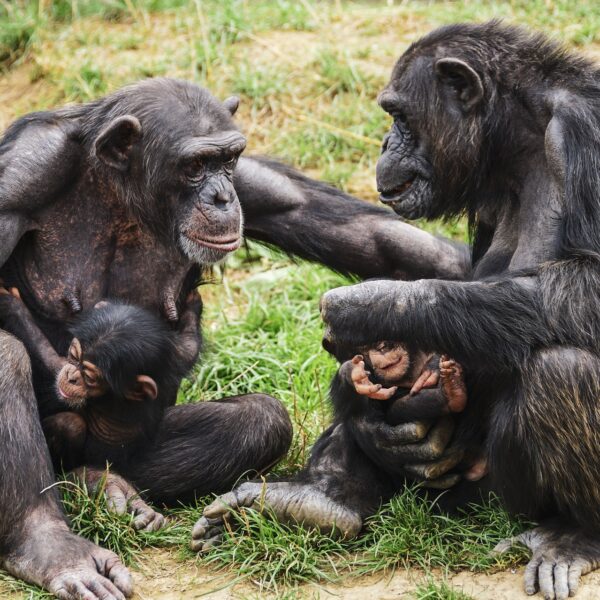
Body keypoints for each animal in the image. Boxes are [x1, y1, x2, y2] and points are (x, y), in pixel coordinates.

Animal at [0, 77, 466, 596]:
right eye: (194, 166)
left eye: (227, 160)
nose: (223, 196)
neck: (121, 191)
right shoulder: (25, 172)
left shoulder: (256, 182)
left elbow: (380, 241)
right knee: (7, 356)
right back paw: (53, 544)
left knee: (259, 419)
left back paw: (104, 487)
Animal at [195, 23, 600, 600]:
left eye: (400, 116)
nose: (387, 142)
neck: (519, 138)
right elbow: (456, 273)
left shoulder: (584, 133)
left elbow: (586, 285)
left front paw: (369, 307)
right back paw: (318, 500)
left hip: (499, 495)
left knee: (562, 370)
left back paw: (573, 535)